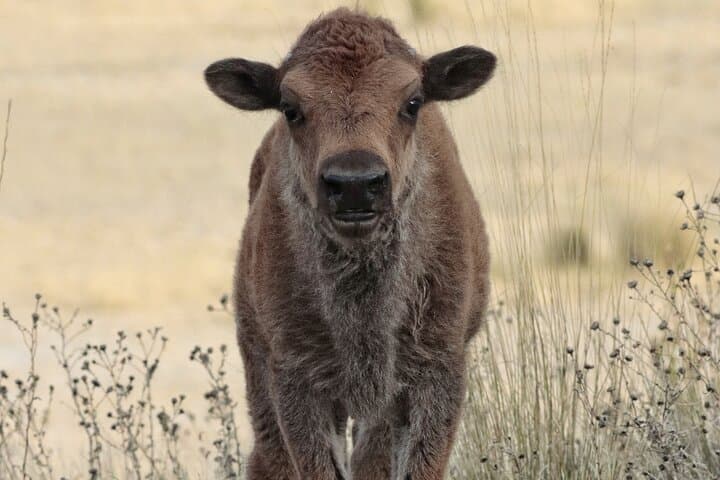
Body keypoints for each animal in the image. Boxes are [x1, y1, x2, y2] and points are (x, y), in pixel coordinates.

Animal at [204, 8, 495, 480]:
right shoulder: (296, 379)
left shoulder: (436, 372)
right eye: (290, 108)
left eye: (412, 102)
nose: (355, 184)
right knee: (270, 455)